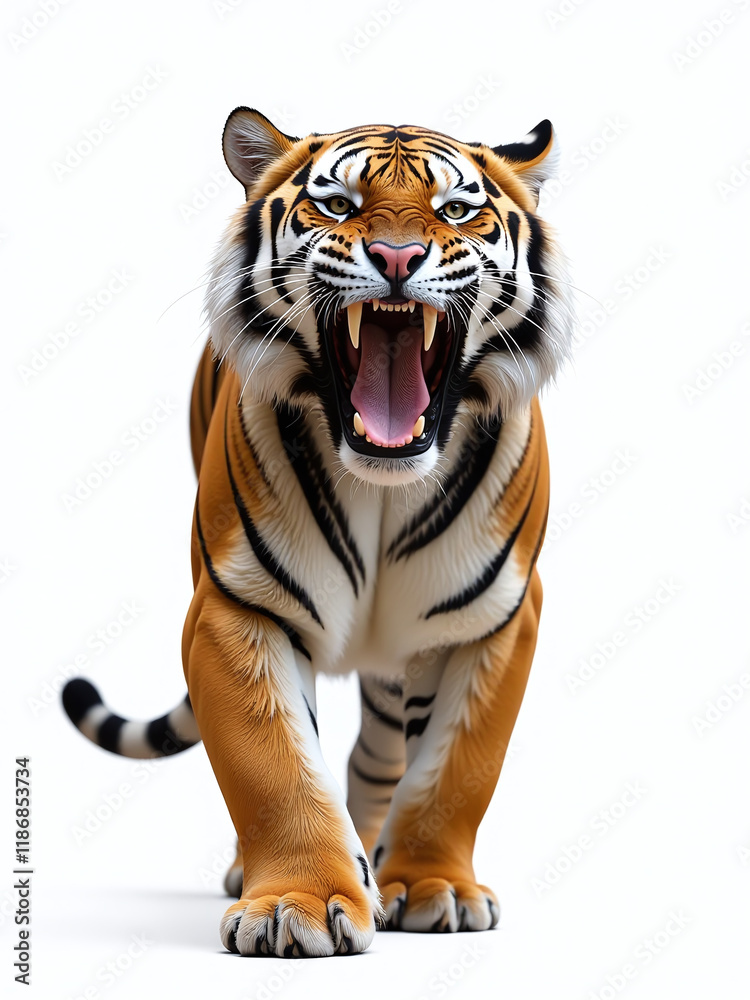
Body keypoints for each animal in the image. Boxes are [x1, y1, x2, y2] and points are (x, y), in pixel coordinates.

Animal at [62, 108, 573, 958]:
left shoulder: (492, 622)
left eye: (456, 210)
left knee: (379, 757)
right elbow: (271, 766)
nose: (397, 255)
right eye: (337, 204)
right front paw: (292, 904)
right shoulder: (237, 608)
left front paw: (432, 887)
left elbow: (457, 770)